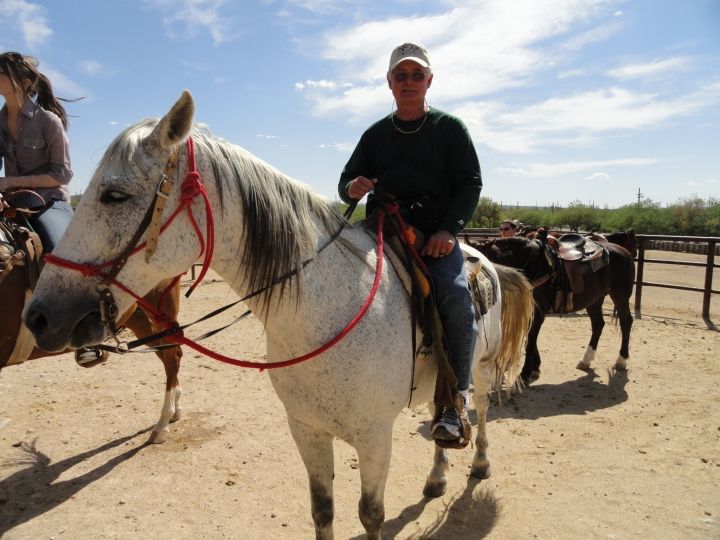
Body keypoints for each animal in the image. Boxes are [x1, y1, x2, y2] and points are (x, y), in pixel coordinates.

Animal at [21, 90, 536, 536]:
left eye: (114, 195)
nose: (39, 316)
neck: (325, 310)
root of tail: (481, 255)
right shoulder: (307, 432)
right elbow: (322, 511)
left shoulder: (374, 439)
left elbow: (370, 515)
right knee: (440, 407)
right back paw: (436, 477)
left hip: (480, 369)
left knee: (479, 410)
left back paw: (479, 462)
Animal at [478, 230, 636, 386]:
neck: (532, 265)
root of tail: (624, 252)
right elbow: (531, 340)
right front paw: (535, 369)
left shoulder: (537, 313)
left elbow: (530, 342)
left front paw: (525, 374)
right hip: (595, 300)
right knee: (598, 324)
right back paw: (585, 361)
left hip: (620, 296)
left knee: (626, 322)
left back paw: (621, 361)